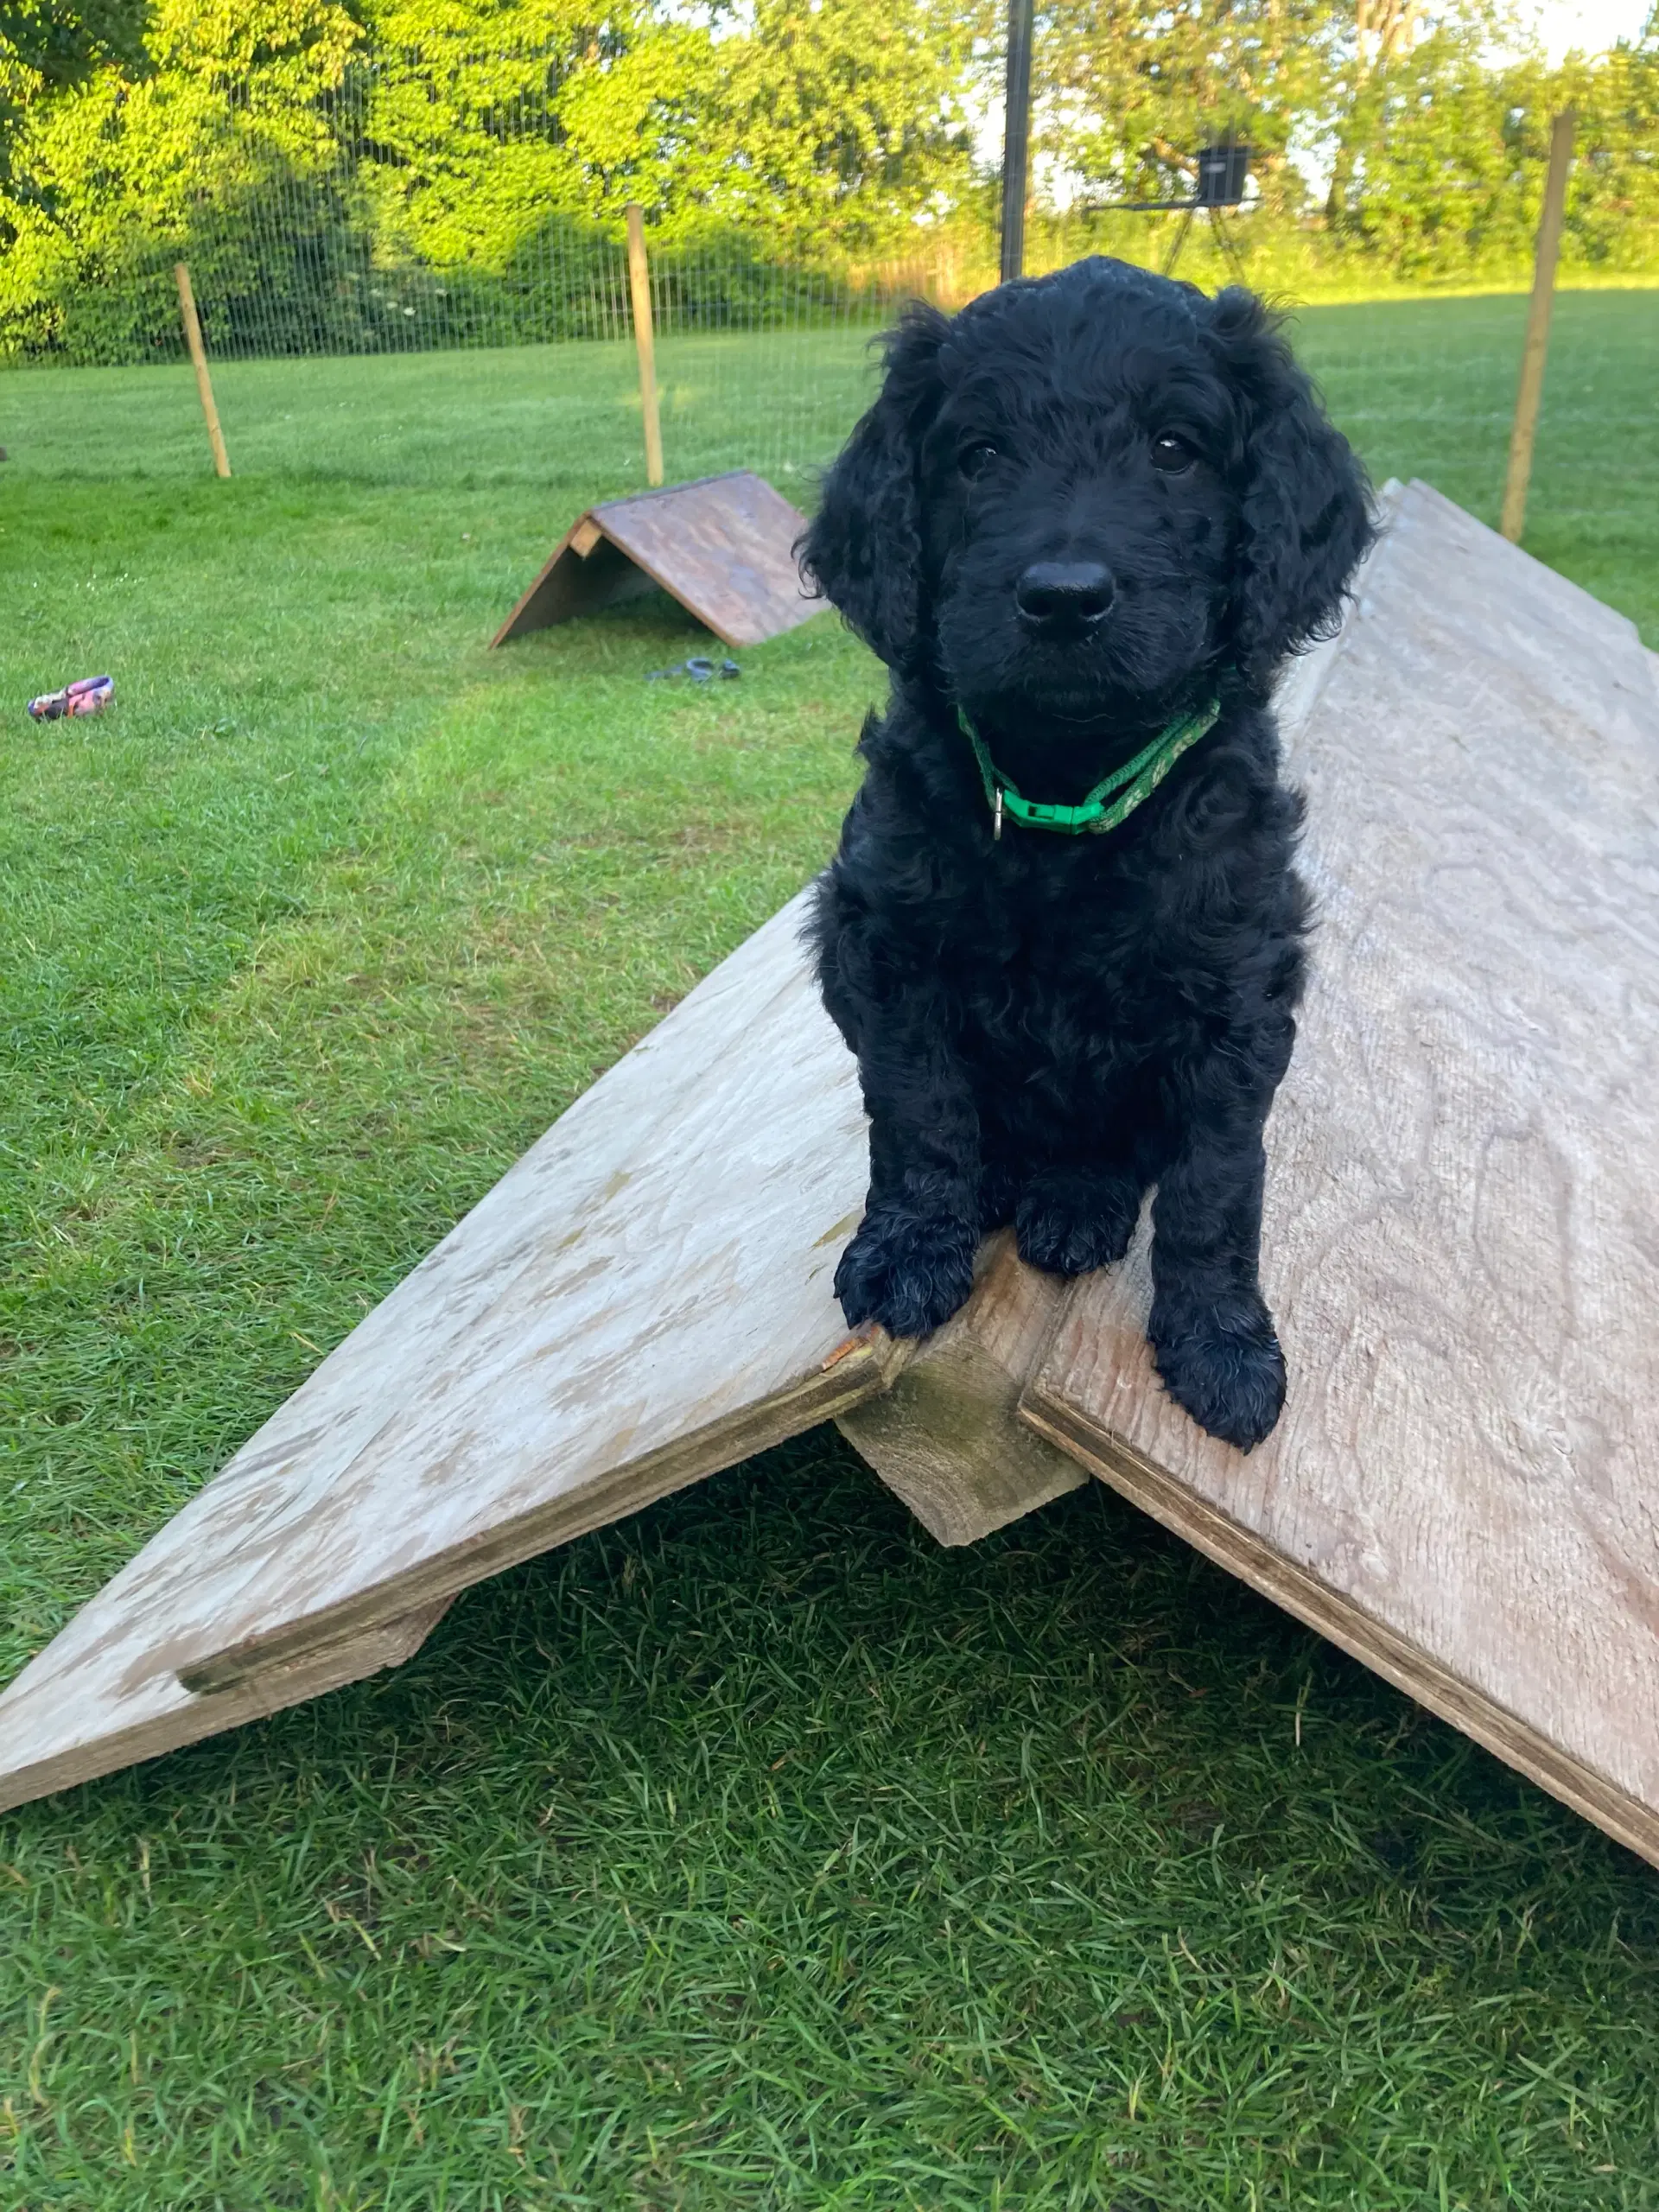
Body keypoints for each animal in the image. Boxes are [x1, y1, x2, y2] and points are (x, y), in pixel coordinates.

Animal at [800, 254, 1371, 1451]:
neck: (1070, 792)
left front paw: (1224, 1349)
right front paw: (907, 1254)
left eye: (1176, 448)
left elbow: (1214, 1187)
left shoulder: (1237, 992)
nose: (1064, 597)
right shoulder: (884, 944)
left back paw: (1077, 1202)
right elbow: (920, 1114)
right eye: (978, 456)